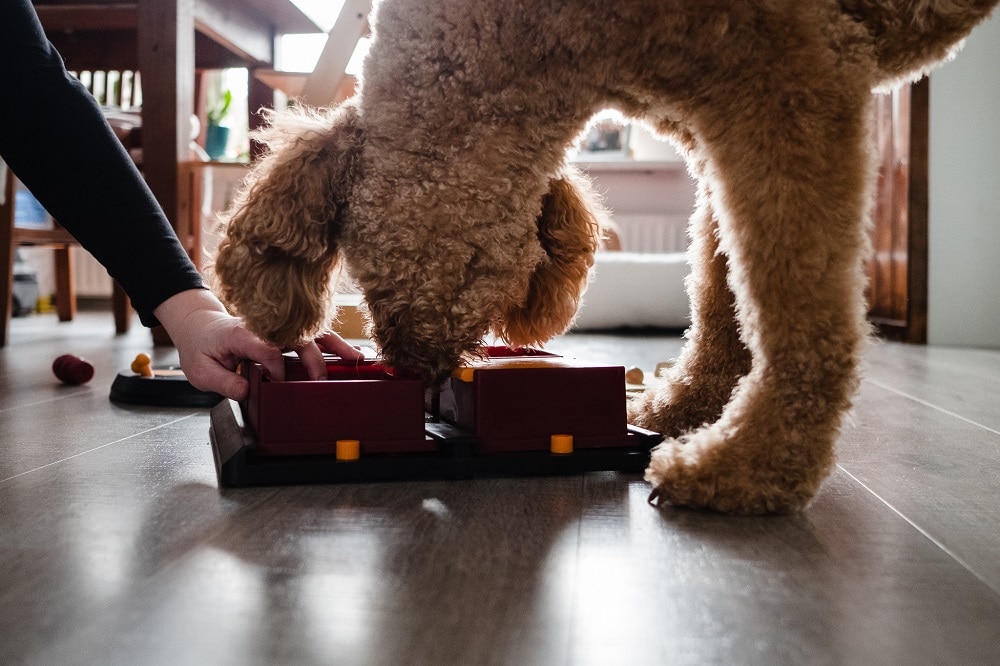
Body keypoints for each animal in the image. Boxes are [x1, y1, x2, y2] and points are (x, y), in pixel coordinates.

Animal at [211, 0, 992, 512]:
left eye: (381, 275)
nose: (414, 372)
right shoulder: (720, 108)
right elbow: (719, 285)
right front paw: (687, 406)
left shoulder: (793, 76)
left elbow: (791, 291)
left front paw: (752, 463)